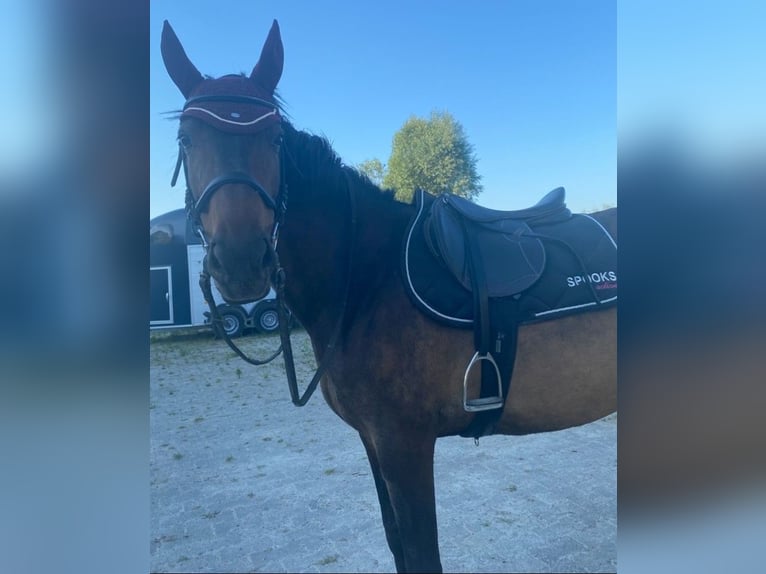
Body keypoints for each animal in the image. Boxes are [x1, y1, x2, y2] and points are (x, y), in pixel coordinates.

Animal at [160, 19, 616, 573]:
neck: (366, 279)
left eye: (273, 139)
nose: (243, 262)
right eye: (186, 138)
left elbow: (421, 553)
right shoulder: (374, 441)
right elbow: (398, 543)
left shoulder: (404, 445)